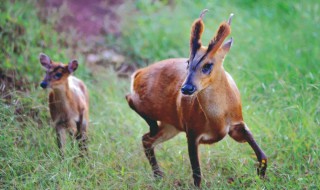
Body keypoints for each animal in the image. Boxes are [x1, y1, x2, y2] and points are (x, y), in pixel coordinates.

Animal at [126, 9, 266, 186]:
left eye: (208, 65)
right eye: (188, 62)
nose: (186, 88)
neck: (217, 119)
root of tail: (138, 73)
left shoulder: (236, 124)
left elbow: (261, 153)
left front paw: (261, 175)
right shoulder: (192, 132)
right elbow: (197, 174)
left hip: (171, 126)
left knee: (146, 139)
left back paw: (159, 175)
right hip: (153, 110)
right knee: (131, 101)